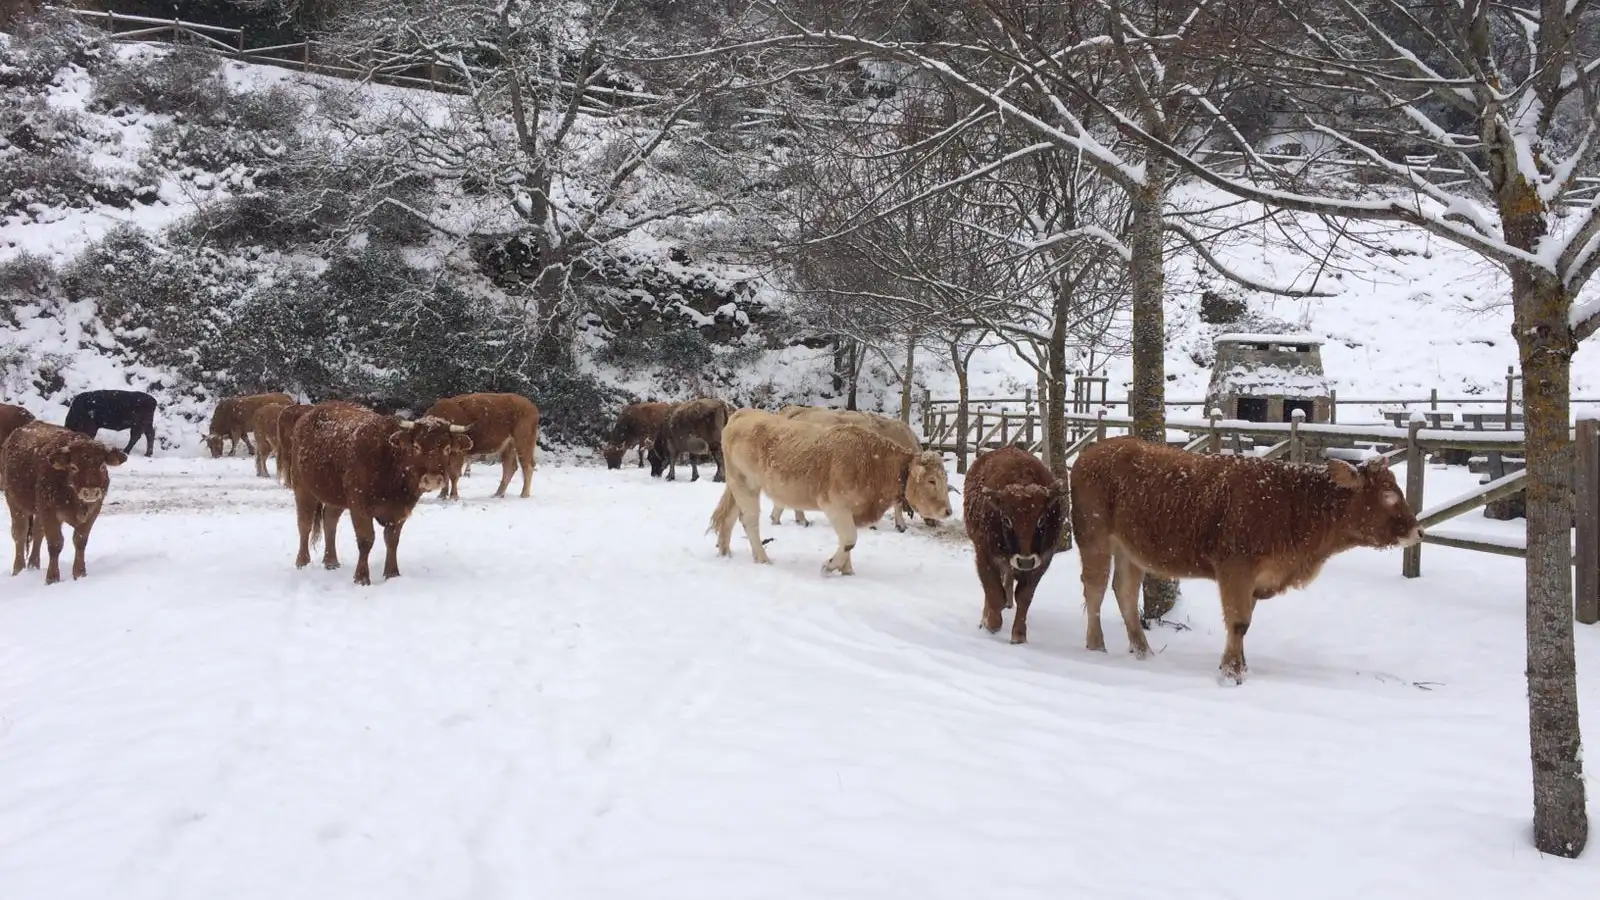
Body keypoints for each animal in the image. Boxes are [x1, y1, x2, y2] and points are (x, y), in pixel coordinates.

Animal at [2, 421, 126, 584]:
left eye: (102, 466)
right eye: (73, 467)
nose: (91, 491)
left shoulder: (93, 511)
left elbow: (80, 541)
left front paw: (79, 573)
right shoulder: (50, 512)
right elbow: (55, 543)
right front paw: (52, 578)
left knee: (37, 533)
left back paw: (33, 566)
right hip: (14, 502)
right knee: (19, 534)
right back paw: (18, 569)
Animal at [290, 402, 472, 585]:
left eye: (447, 448)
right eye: (417, 446)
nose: (433, 479)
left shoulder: (401, 509)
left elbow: (392, 539)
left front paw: (392, 573)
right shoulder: (359, 506)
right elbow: (366, 540)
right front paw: (361, 577)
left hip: (335, 495)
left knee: (330, 521)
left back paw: (331, 561)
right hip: (302, 488)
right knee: (304, 524)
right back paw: (302, 561)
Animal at [963, 446, 1068, 645]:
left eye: (1041, 519)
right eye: (1006, 520)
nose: (1024, 561)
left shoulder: (1042, 562)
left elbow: (1024, 597)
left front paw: (1019, 635)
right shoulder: (984, 555)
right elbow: (994, 593)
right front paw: (992, 623)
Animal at [1070, 436, 1422, 684]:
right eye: (1388, 494)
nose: (1418, 530)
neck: (1294, 503)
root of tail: (1094, 451)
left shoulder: (1255, 579)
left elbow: (1243, 625)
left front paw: (1238, 665)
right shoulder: (1236, 570)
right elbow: (1239, 622)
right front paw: (1232, 673)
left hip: (1130, 550)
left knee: (1125, 593)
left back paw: (1143, 652)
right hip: (1094, 539)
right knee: (1095, 590)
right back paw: (1096, 646)